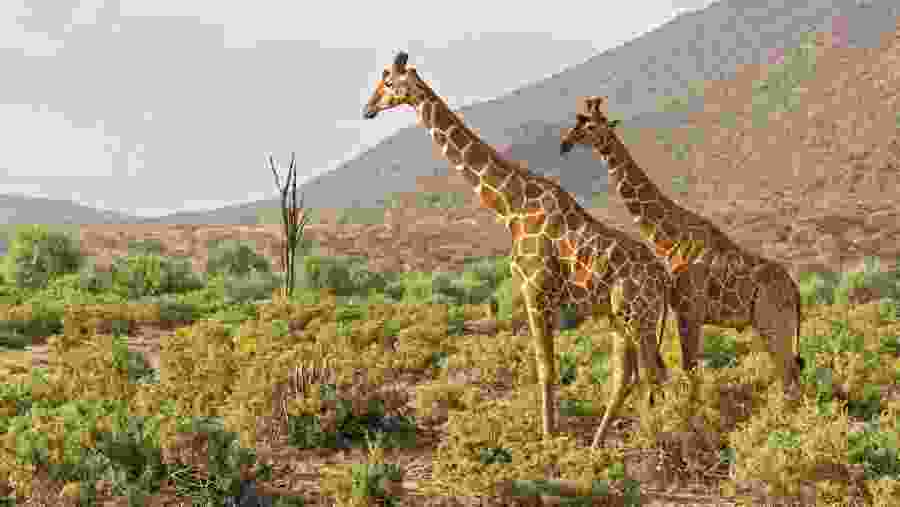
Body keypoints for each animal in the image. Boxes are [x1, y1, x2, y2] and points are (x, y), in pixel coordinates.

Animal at [363, 52, 675, 447]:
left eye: (388, 82)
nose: (367, 109)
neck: (511, 205)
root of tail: (663, 278)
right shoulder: (538, 294)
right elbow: (548, 368)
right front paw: (553, 437)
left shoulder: (535, 291)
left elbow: (546, 369)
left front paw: (548, 439)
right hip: (620, 319)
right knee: (632, 376)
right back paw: (598, 446)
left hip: (639, 317)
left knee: (653, 373)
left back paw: (657, 440)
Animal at [559, 96, 805, 397]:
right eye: (578, 123)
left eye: (591, 126)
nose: (565, 143)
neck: (669, 238)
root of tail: (795, 291)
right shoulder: (686, 312)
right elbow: (691, 368)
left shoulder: (689, 310)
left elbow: (690, 368)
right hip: (776, 325)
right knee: (792, 374)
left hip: (773, 323)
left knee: (789, 376)